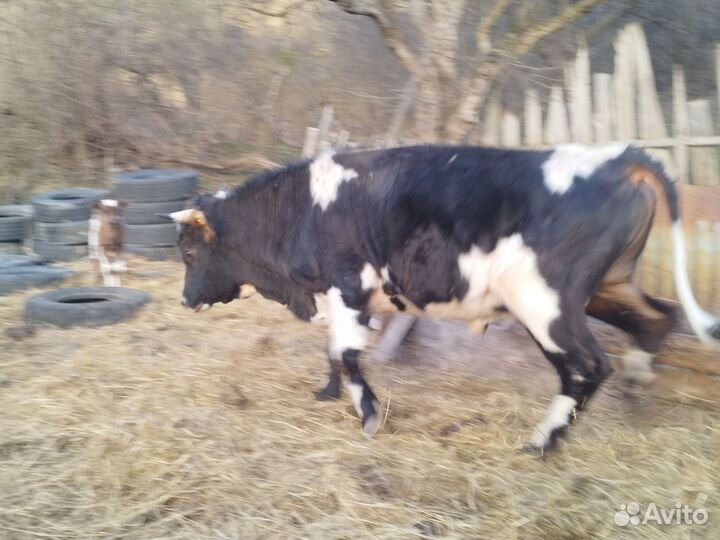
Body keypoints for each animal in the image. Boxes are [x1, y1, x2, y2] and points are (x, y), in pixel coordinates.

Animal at [163, 144, 720, 453]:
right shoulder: (339, 296)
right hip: (608, 287)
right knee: (656, 320)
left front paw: (368, 415)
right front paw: (327, 394)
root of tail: (617, 159)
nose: (186, 301)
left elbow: (346, 355)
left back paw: (543, 442)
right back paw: (635, 399)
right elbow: (334, 355)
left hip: (546, 303)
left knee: (586, 367)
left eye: (188, 251)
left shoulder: (348, 288)